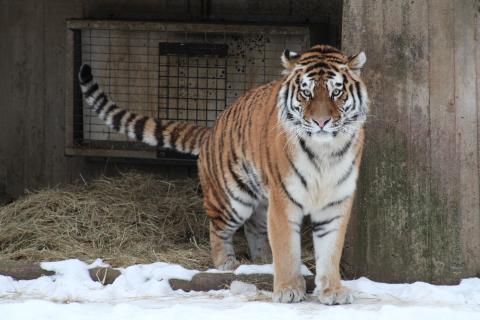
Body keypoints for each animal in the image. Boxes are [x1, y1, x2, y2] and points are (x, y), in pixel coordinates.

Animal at [79, 43, 368, 304]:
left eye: (336, 92)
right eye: (306, 93)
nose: (321, 122)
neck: (325, 152)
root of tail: (211, 130)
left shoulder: (336, 202)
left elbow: (330, 251)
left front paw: (333, 291)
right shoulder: (284, 200)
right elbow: (287, 248)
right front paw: (288, 290)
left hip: (261, 198)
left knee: (254, 228)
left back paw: (263, 262)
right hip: (233, 199)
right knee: (217, 229)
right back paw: (227, 264)